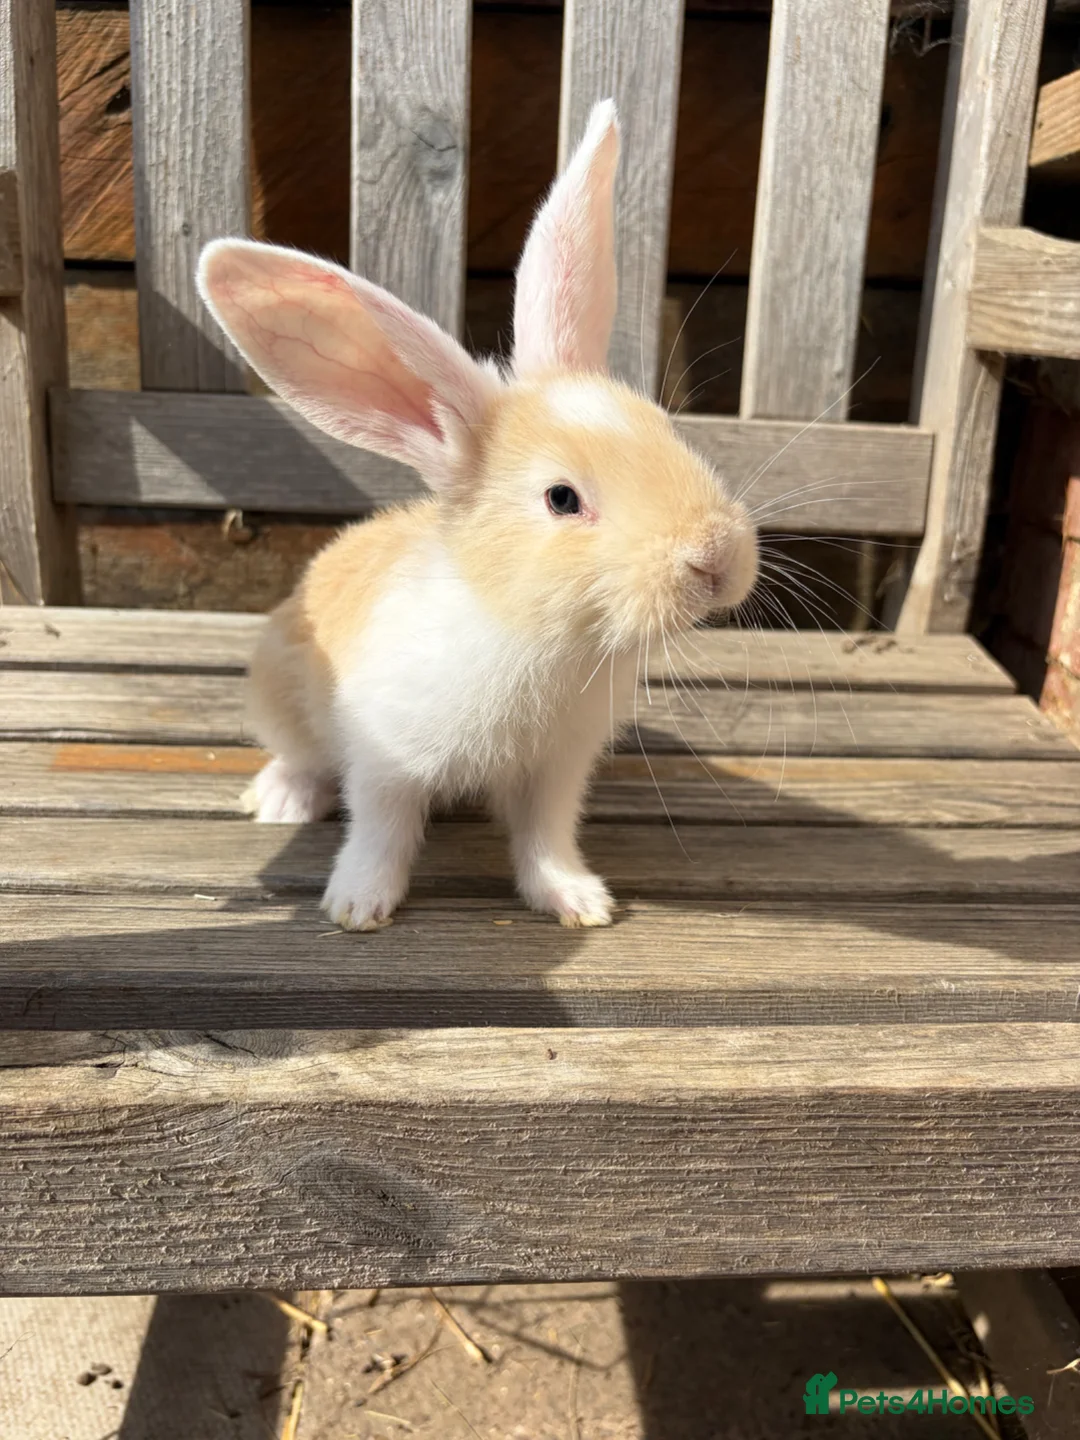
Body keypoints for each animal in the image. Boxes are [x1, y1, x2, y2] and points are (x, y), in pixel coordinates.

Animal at [197, 99, 758, 932]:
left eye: (666, 428)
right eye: (562, 498)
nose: (716, 558)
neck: (536, 636)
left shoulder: (556, 774)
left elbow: (545, 840)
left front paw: (579, 902)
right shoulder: (386, 762)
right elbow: (380, 831)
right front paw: (358, 906)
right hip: (277, 696)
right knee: (299, 757)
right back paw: (281, 800)